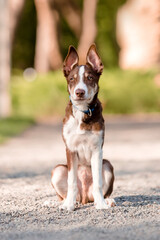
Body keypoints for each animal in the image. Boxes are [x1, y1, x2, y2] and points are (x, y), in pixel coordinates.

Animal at [51, 44, 115, 211]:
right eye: (72, 79)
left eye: (90, 78)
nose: (79, 92)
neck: (82, 112)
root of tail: (84, 197)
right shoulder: (70, 149)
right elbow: (71, 182)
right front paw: (68, 206)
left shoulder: (97, 149)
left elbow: (98, 182)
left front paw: (101, 205)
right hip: (58, 170)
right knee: (65, 194)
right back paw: (62, 202)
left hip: (108, 165)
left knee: (102, 190)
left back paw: (107, 201)